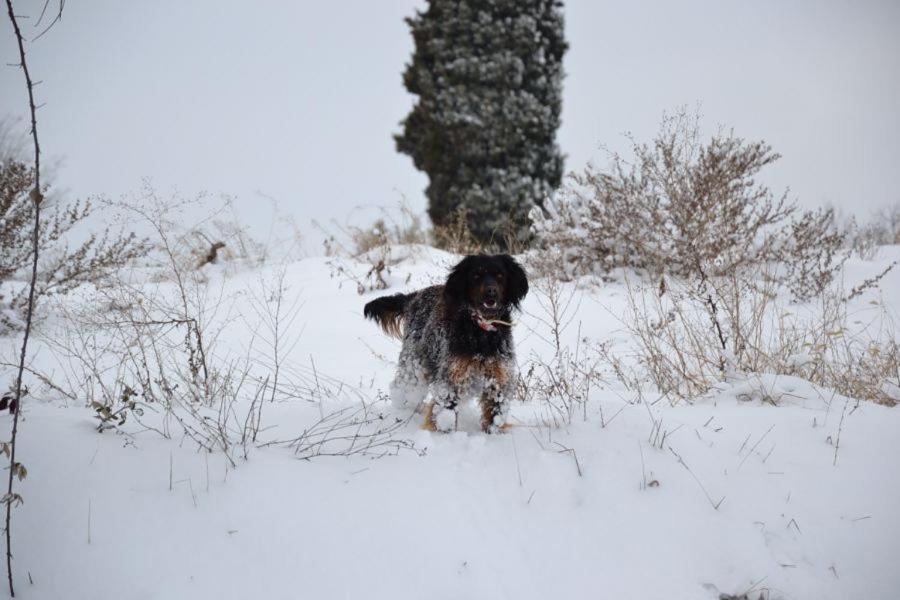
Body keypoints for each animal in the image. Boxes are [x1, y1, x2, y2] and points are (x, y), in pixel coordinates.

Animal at [360, 255, 528, 434]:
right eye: (476, 275)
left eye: (500, 275)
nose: (491, 291)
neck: (481, 330)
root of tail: (414, 296)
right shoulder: (452, 376)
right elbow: (445, 412)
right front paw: (443, 433)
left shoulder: (498, 378)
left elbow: (494, 414)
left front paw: (493, 433)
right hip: (415, 362)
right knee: (402, 388)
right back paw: (402, 411)